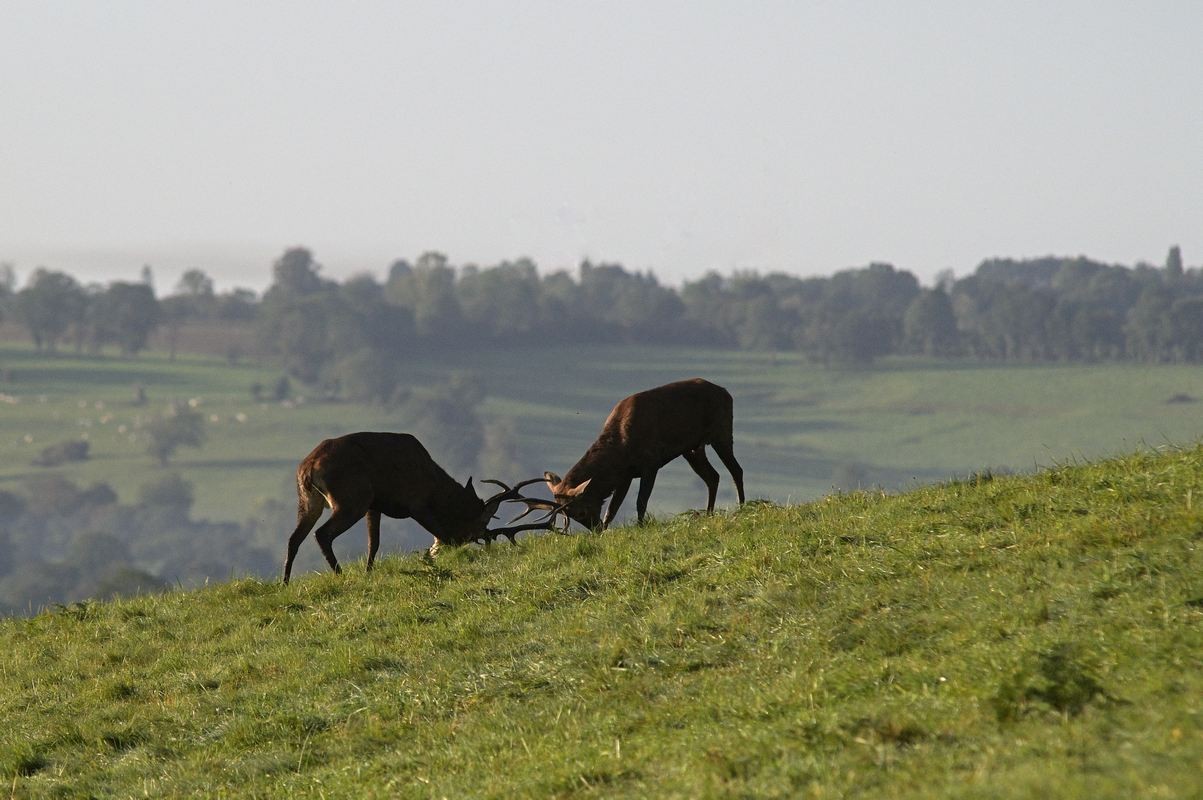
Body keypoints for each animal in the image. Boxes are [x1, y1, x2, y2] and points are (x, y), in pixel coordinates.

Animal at [283, 430, 555, 579]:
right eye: (479, 523)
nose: (482, 539)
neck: (435, 486)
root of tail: (308, 469)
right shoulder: (415, 502)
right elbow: (443, 535)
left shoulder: (376, 505)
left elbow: (374, 543)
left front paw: (369, 573)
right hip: (351, 498)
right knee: (322, 534)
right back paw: (339, 574)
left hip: (309, 501)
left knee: (294, 538)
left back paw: (285, 582)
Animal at [536, 380, 741, 529]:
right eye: (570, 515)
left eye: (581, 512)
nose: (596, 530)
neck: (621, 451)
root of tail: (727, 393)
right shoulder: (625, 475)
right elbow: (612, 508)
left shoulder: (651, 463)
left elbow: (641, 501)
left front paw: (640, 526)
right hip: (692, 449)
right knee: (713, 477)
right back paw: (709, 513)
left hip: (721, 431)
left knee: (736, 470)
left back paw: (741, 506)